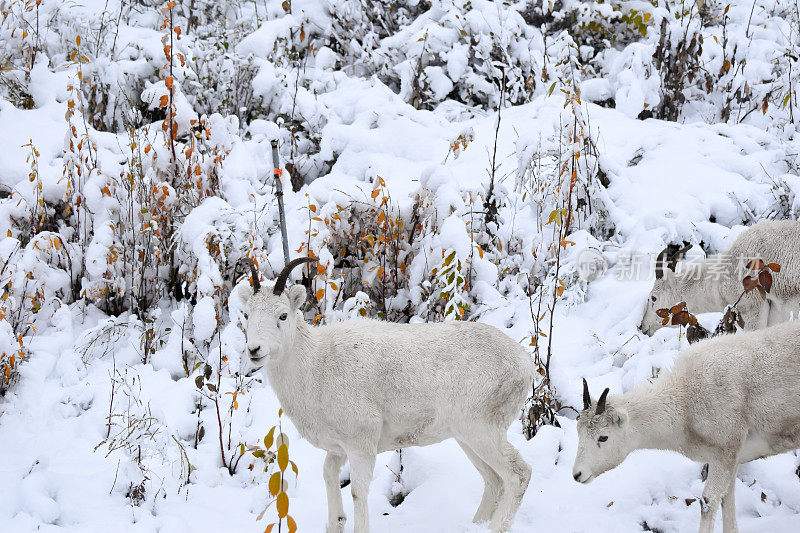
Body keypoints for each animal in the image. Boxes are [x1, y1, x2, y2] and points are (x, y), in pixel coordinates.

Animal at [241, 258, 536, 532]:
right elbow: (329, 476)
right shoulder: (338, 448)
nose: (254, 350)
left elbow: (358, 491)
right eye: (247, 315)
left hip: (482, 431)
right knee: (494, 481)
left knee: (517, 475)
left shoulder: (361, 443)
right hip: (466, 437)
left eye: (282, 316)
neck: (317, 366)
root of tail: (525, 363)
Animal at [572, 318, 800, 528]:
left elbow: (708, 502)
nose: (577, 474)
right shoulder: (732, 458)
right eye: (579, 433)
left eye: (603, 437)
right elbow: (727, 499)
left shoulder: (724, 452)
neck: (684, 403)